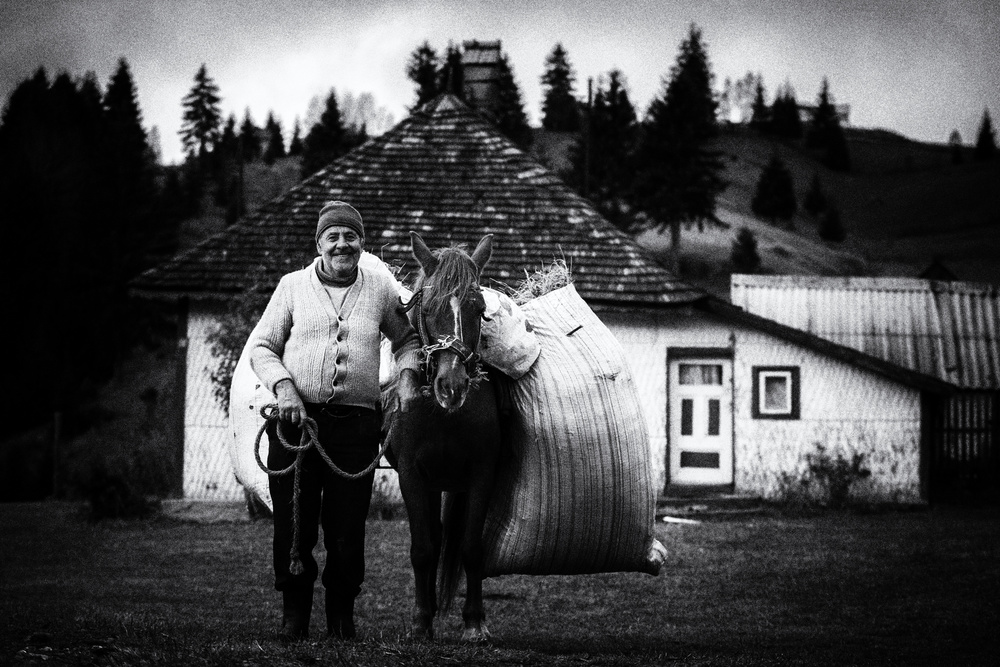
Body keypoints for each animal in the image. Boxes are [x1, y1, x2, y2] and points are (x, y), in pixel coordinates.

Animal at [388, 231, 500, 640]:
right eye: (428, 306)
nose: (451, 386)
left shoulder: (482, 473)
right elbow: (423, 548)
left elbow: (471, 548)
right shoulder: (412, 474)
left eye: (478, 307)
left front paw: (475, 623)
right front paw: (421, 621)